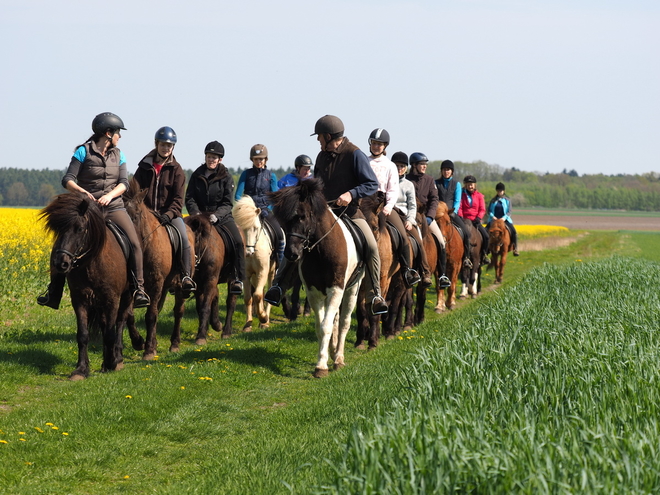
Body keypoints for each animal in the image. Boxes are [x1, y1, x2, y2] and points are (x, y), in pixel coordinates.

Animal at [39, 193, 138, 380]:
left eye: (79, 228)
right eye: (58, 230)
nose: (61, 263)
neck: (91, 263)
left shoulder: (112, 299)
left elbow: (110, 333)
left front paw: (111, 363)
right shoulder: (80, 300)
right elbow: (83, 335)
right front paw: (81, 369)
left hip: (127, 295)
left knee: (120, 322)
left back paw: (117, 358)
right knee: (105, 324)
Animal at [123, 180, 192, 358]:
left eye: (136, 214)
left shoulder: (155, 283)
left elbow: (151, 315)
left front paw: (148, 350)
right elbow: (129, 315)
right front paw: (138, 342)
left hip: (179, 286)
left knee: (178, 311)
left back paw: (174, 343)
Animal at [184, 213, 238, 344]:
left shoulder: (210, 280)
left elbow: (205, 307)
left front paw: (201, 337)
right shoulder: (198, 284)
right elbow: (200, 307)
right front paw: (207, 328)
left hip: (232, 280)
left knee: (231, 302)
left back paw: (226, 331)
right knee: (216, 295)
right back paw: (217, 324)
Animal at [232, 196, 276, 332]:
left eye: (256, 228)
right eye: (239, 229)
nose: (248, 253)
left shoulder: (263, 271)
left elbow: (257, 295)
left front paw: (264, 318)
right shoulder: (246, 275)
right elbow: (248, 298)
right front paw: (248, 324)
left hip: (271, 272)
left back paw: (265, 319)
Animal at [270, 180, 366, 378]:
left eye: (303, 216)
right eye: (284, 221)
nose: (291, 254)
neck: (321, 251)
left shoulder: (336, 289)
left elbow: (326, 326)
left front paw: (322, 366)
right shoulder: (313, 292)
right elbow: (320, 327)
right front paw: (323, 360)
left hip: (353, 288)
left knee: (344, 322)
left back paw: (339, 358)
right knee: (335, 321)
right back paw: (333, 351)